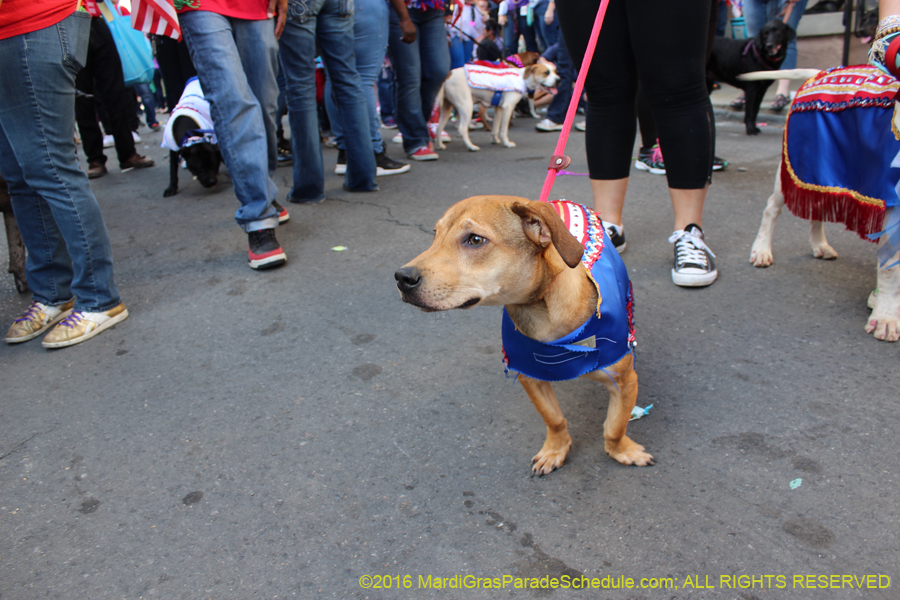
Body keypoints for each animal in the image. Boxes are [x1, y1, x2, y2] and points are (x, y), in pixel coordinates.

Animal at [394, 195, 652, 476]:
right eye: (435, 234)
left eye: (475, 239)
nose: (402, 278)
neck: (545, 315)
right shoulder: (530, 377)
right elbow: (554, 419)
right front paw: (555, 450)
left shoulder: (625, 381)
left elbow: (615, 426)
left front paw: (622, 451)